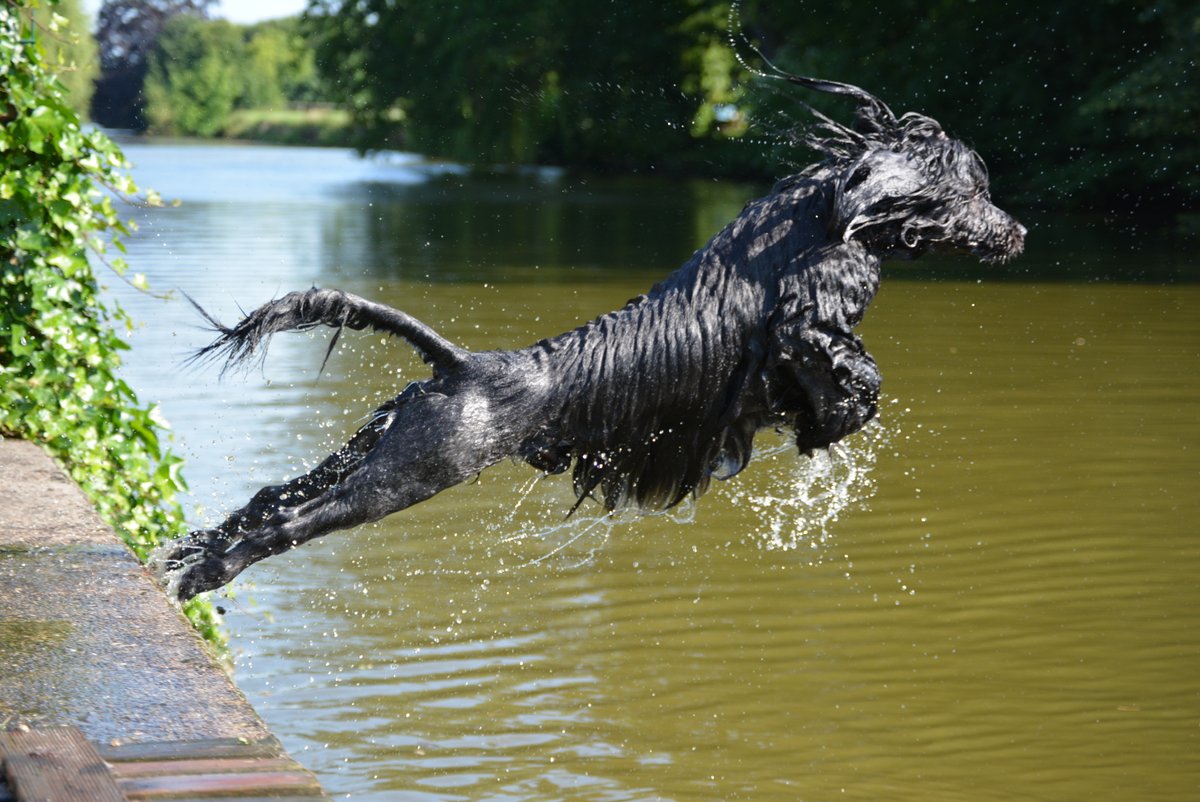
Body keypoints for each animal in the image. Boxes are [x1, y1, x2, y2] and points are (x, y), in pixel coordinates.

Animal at [157, 73, 1022, 600]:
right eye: (975, 189)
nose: (1017, 231)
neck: (828, 211)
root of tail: (459, 367)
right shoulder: (806, 324)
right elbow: (853, 376)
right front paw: (833, 422)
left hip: (380, 444)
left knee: (273, 495)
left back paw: (189, 547)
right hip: (411, 474)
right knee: (291, 522)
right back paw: (206, 574)